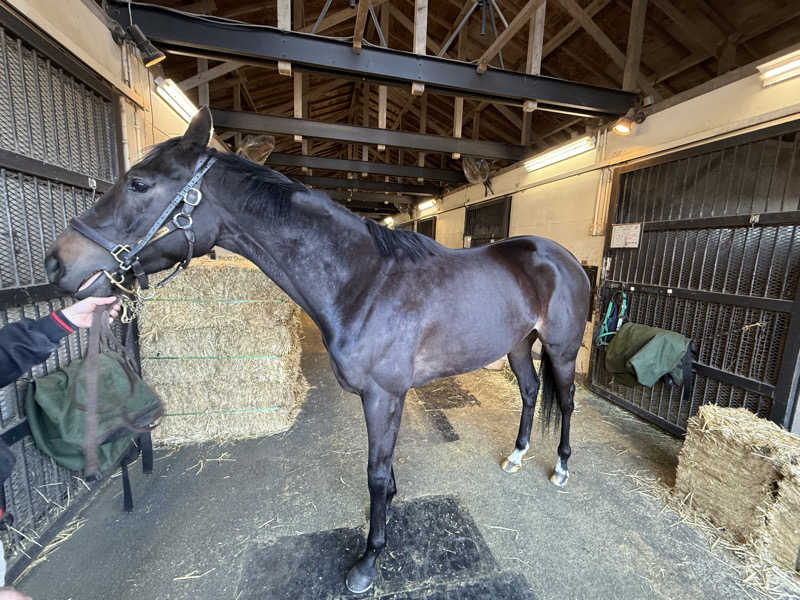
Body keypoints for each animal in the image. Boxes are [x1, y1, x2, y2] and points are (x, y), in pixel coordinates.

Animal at [47, 109, 592, 596]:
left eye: (139, 184)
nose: (58, 262)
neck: (363, 282)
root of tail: (562, 257)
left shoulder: (384, 395)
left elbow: (375, 473)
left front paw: (368, 560)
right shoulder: (381, 398)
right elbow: (383, 469)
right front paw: (387, 514)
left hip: (562, 349)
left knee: (565, 403)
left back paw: (561, 468)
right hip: (519, 346)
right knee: (529, 392)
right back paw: (517, 456)